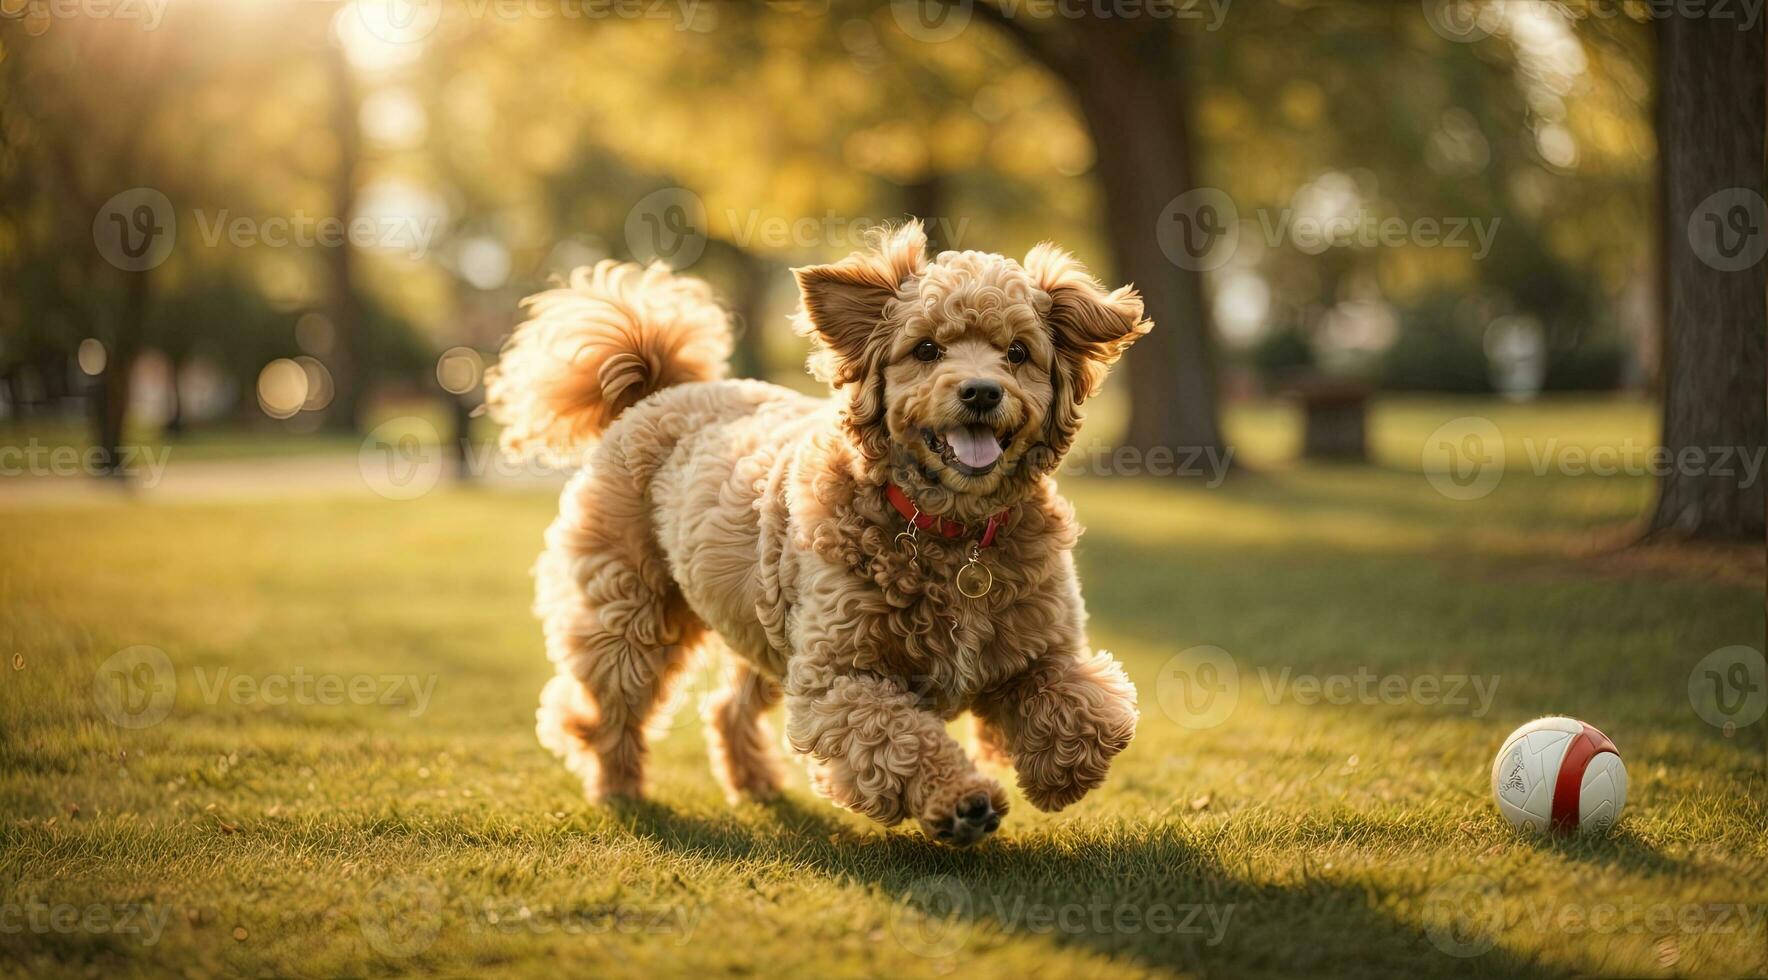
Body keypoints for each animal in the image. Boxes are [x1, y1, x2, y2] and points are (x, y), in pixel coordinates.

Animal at [487, 219, 1145, 838]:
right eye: (926, 349)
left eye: (1018, 353)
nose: (981, 392)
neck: (953, 533)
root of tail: (659, 390)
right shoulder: (837, 678)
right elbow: (901, 739)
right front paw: (961, 801)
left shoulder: (1038, 648)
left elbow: (1086, 712)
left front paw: (1057, 773)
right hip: (630, 611)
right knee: (602, 711)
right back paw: (618, 788)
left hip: (764, 622)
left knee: (725, 707)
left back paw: (753, 782)